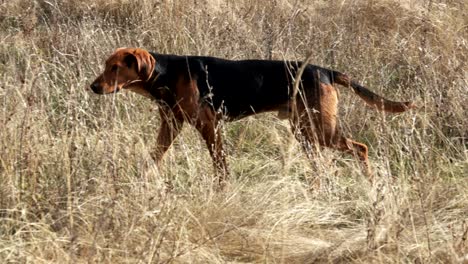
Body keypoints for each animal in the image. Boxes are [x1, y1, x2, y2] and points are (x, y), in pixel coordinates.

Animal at [90, 47, 414, 185]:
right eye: (106, 66)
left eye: (115, 68)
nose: (93, 87)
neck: (166, 73)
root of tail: (326, 71)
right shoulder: (170, 124)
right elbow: (154, 156)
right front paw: (142, 177)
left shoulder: (209, 126)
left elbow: (220, 164)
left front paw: (223, 188)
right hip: (305, 132)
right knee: (324, 166)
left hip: (321, 130)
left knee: (361, 148)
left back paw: (370, 182)